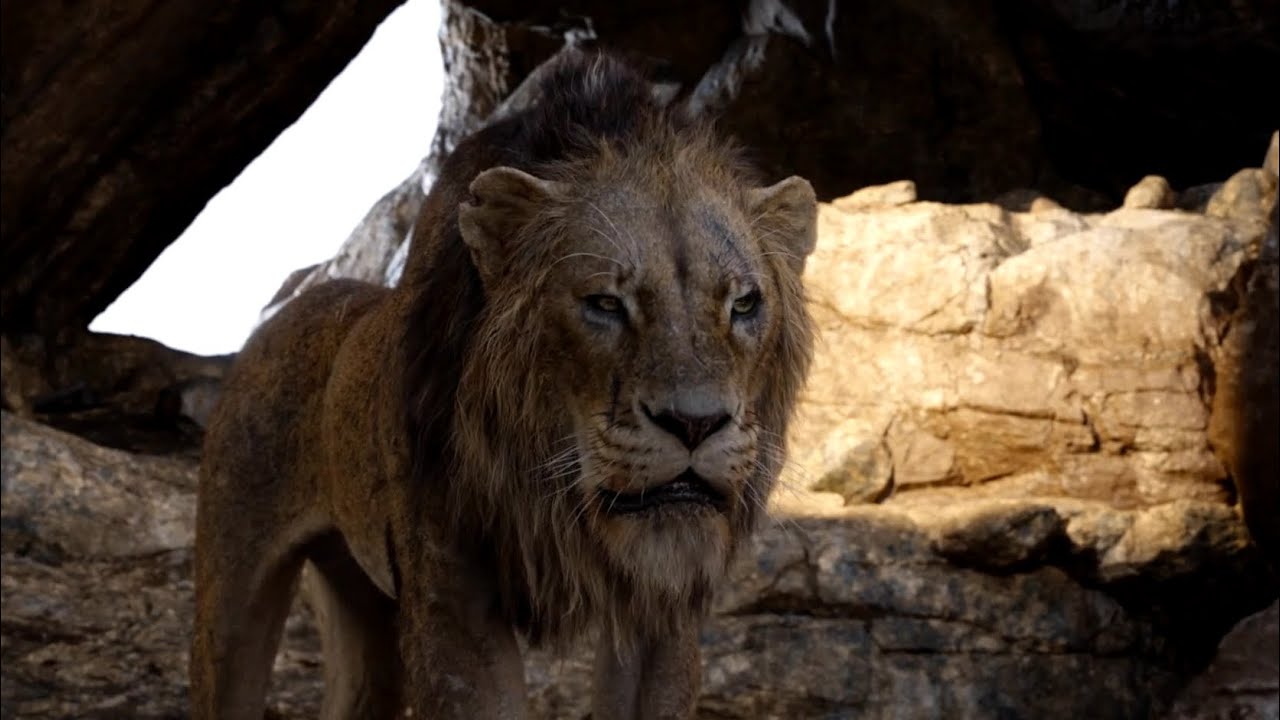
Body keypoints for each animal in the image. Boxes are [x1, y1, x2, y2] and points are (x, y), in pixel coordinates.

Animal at [189, 50, 817, 719]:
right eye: (605, 304)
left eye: (744, 304)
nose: (696, 423)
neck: (552, 502)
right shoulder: (453, 599)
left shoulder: (664, 610)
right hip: (230, 595)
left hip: (366, 618)